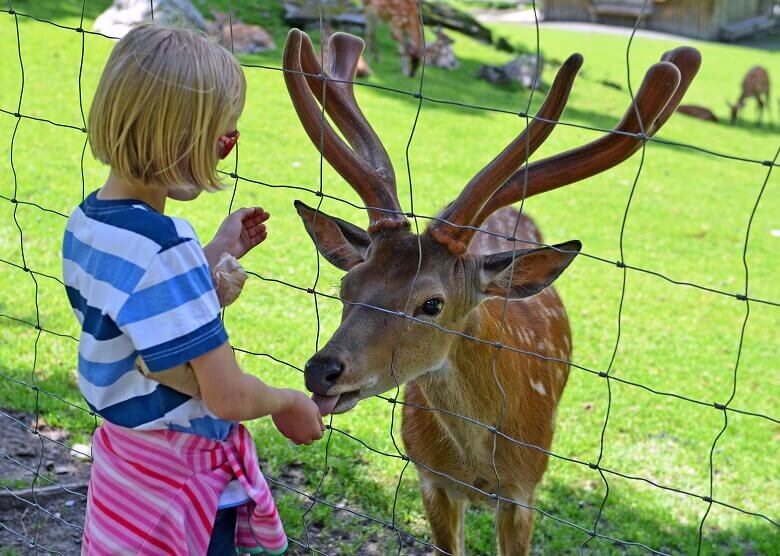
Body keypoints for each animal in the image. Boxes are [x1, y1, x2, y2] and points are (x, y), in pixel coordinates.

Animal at [282, 29, 700, 552]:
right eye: (346, 284)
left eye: (432, 303)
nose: (322, 371)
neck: (480, 466)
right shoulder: (429, 478)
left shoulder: (524, 492)